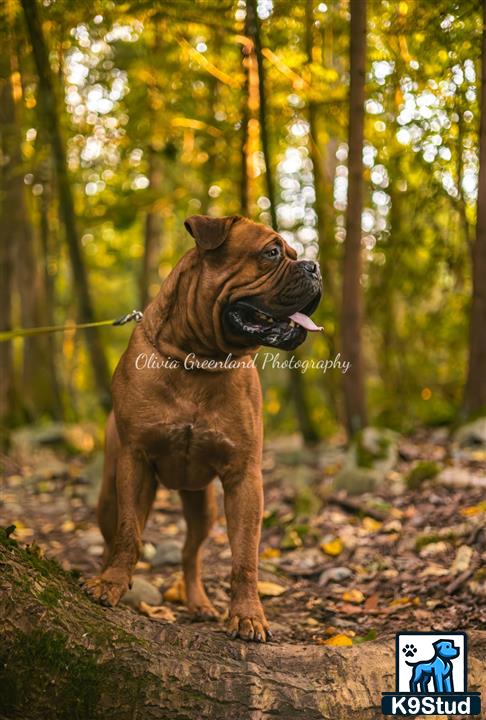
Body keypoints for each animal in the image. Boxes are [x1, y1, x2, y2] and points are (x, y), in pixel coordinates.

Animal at [84, 215, 322, 640]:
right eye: (272, 253)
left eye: (295, 254)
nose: (314, 266)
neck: (198, 359)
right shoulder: (135, 460)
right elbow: (129, 535)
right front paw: (111, 583)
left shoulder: (245, 478)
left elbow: (244, 557)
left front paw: (248, 614)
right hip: (111, 490)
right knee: (114, 537)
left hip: (203, 504)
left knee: (190, 554)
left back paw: (197, 603)